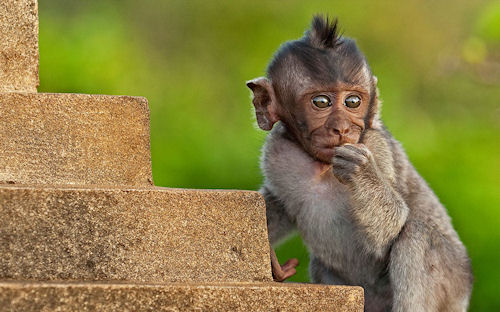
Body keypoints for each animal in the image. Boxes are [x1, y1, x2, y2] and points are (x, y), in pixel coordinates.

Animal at [246, 16, 472, 312]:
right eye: (321, 102)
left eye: (353, 101)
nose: (342, 128)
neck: (323, 168)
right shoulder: (277, 153)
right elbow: (276, 204)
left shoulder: (377, 149)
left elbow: (389, 233)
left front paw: (362, 172)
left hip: (454, 281)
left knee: (417, 235)